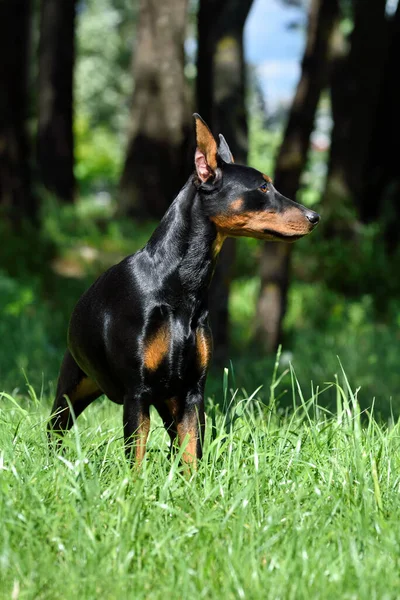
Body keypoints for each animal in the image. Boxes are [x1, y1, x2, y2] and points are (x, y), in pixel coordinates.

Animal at [48, 113, 320, 468]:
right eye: (262, 187)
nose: (315, 216)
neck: (180, 283)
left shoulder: (192, 392)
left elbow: (192, 456)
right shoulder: (137, 393)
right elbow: (136, 459)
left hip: (168, 400)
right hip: (74, 386)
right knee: (55, 427)